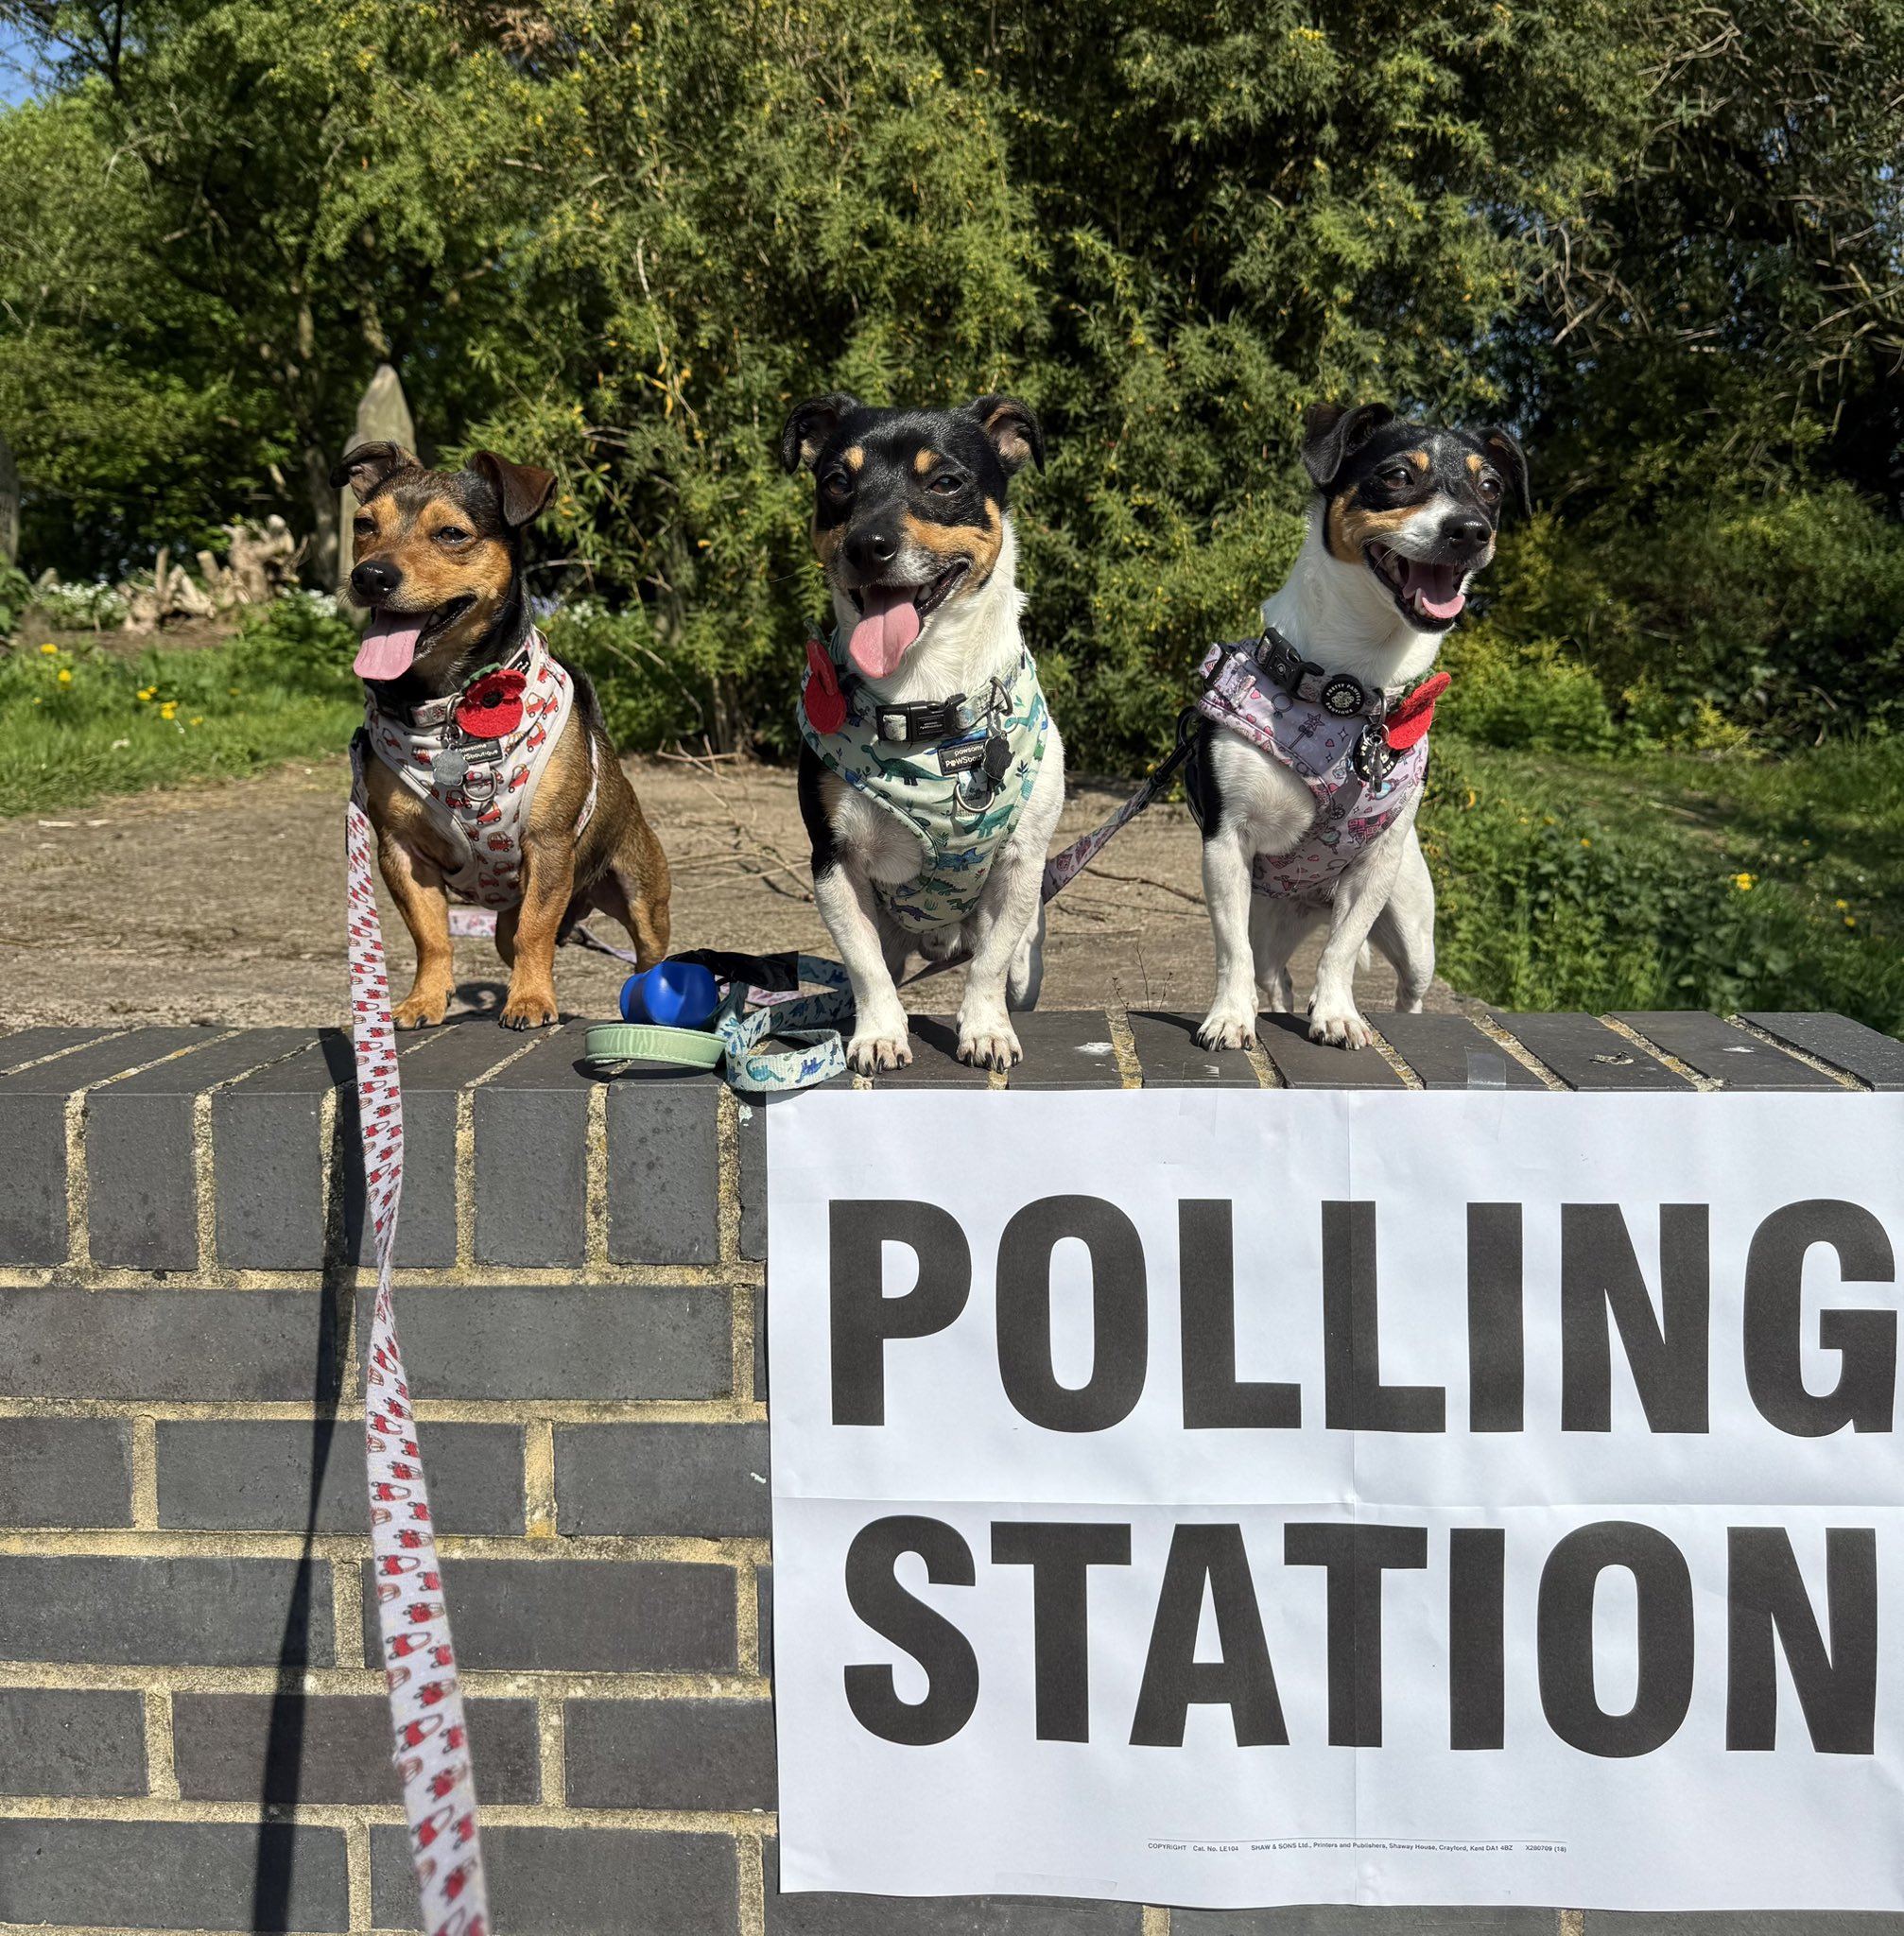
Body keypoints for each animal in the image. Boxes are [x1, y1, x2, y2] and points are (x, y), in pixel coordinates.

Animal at [333, 443, 672, 1029]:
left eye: (451, 534)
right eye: (364, 525)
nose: (369, 576)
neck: (451, 706)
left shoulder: (549, 846)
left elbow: (536, 930)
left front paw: (531, 1000)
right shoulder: (402, 853)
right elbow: (431, 936)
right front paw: (425, 998)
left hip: (642, 896)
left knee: (644, 954)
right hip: (508, 920)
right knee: (514, 939)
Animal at [779, 393, 1065, 1073]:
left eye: (945, 482)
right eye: (837, 482)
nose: (867, 544)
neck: (925, 697)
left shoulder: (1020, 864)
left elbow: (989, 965)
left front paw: (985, 1029)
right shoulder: (835, 862)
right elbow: (864, 969)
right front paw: (880, 1033)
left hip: (1027, 948)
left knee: (1008, 961)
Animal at [1190, 401, 1528, 1051]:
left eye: (1492, 488)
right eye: (1397, 475)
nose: (1471, 529)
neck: (1350, 691)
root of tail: (1312, 901)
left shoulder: (1374, 865)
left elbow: (1342, 951)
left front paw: (1338, 1013)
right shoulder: (1227, 846)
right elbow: (1229, 951)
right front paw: (1229, 1016)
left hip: (1414, 932)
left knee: (1407, 988)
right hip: (1270, 918)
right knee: (1270, 973)